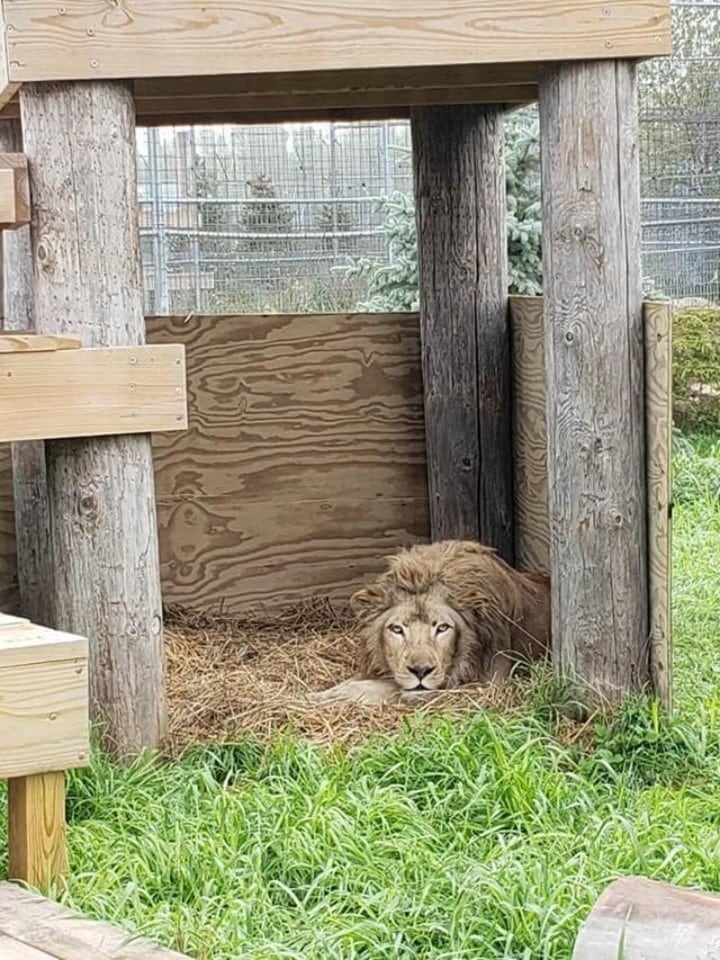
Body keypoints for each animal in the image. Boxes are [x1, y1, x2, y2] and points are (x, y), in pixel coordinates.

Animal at [310, 540, 552, 704]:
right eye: (396, 629)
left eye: (442, 628)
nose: (420, 670)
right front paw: (322, 693)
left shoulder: (489, 683)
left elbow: (390, 687)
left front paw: (340, 695)